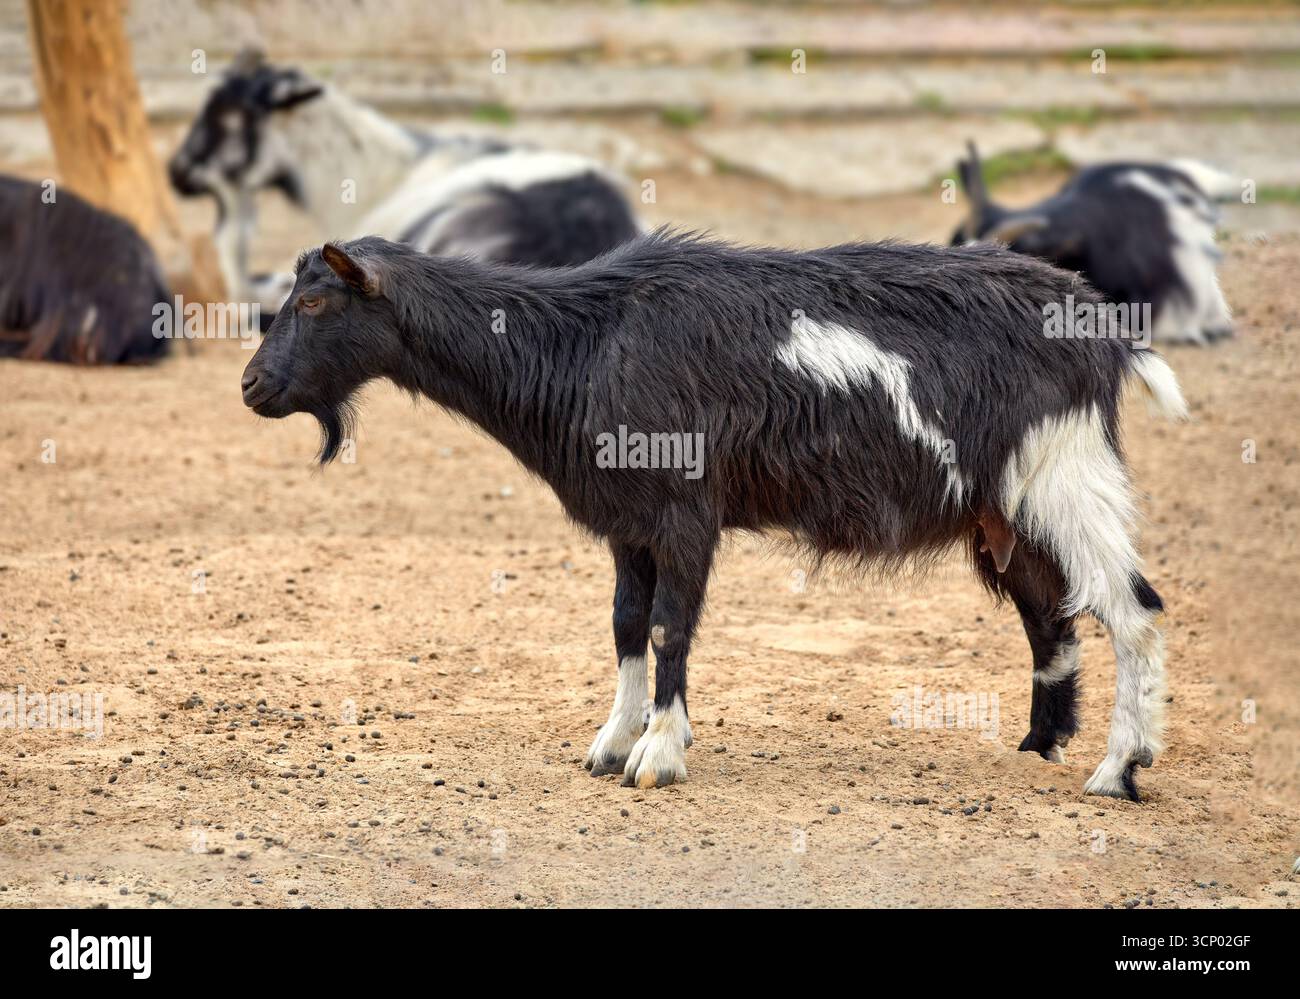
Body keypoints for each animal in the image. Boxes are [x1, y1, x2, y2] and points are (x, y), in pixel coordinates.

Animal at [241, 231, 1188, 800]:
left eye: (316, 302)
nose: (251, 386)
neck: (584, 341)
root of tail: (1106, 330)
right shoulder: (628, 522)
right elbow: (626, 623)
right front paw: (613, 742)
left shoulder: (685, 513)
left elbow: (669, 628)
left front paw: (659, 753)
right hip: (1004, 512)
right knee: (1051, 615)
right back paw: (1041, 746)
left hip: (1066, 472)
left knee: (1133, 608)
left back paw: (1119, 767)